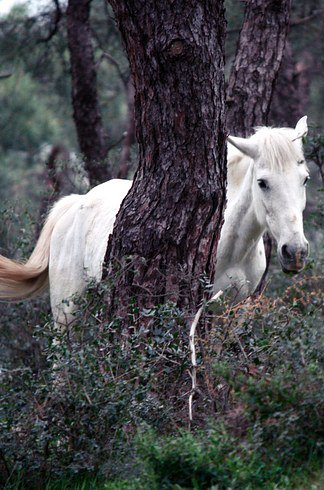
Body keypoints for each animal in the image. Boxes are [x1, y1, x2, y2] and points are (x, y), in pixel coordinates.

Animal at [0, 117, 308, 328]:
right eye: (262, 182)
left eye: (305, 179)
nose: (295, 252)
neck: (232, 248)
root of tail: (75, 204)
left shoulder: (235, 312)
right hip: (67, 311)